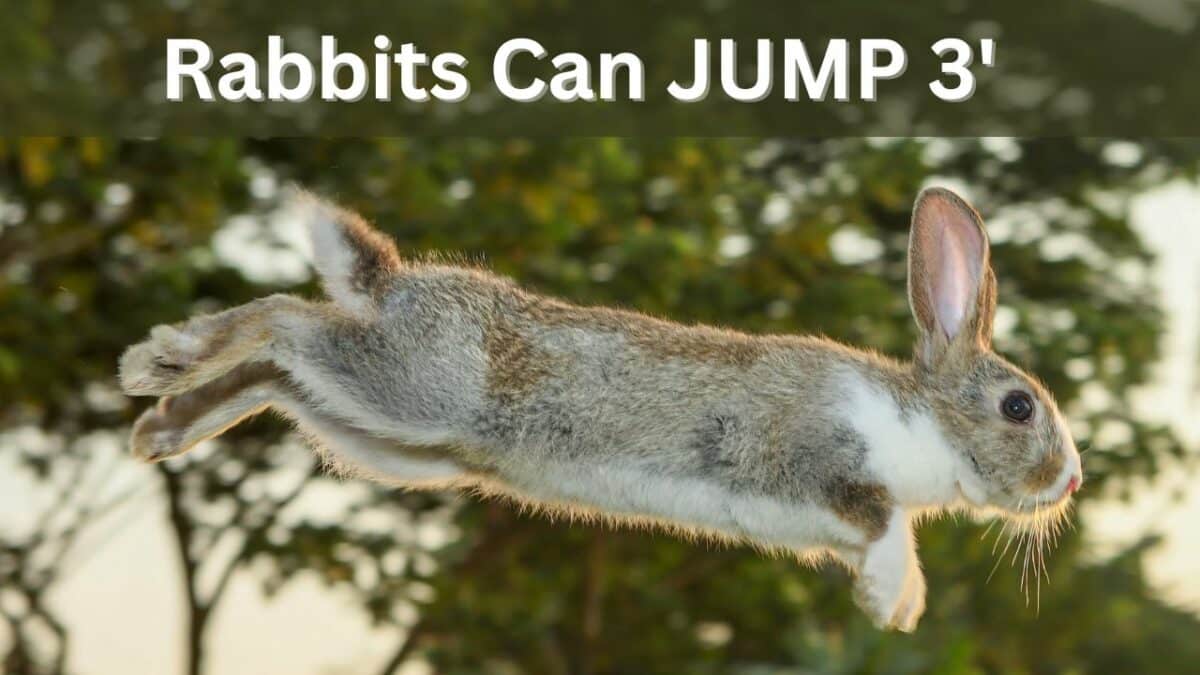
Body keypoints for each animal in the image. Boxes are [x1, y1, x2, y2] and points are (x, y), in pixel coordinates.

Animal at [119, 186, 1083, 632]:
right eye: (1018, 406)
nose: (1071, 480)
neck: (919, 418)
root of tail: (391, 285)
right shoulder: (806, 453)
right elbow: (886, 521)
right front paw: (897, 600)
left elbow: (881, 524)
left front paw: (895, 601)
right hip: (413, 389)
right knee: (283, 320)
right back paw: (157, 357)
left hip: (388, 433)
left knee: (278, 372)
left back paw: (163, 421)